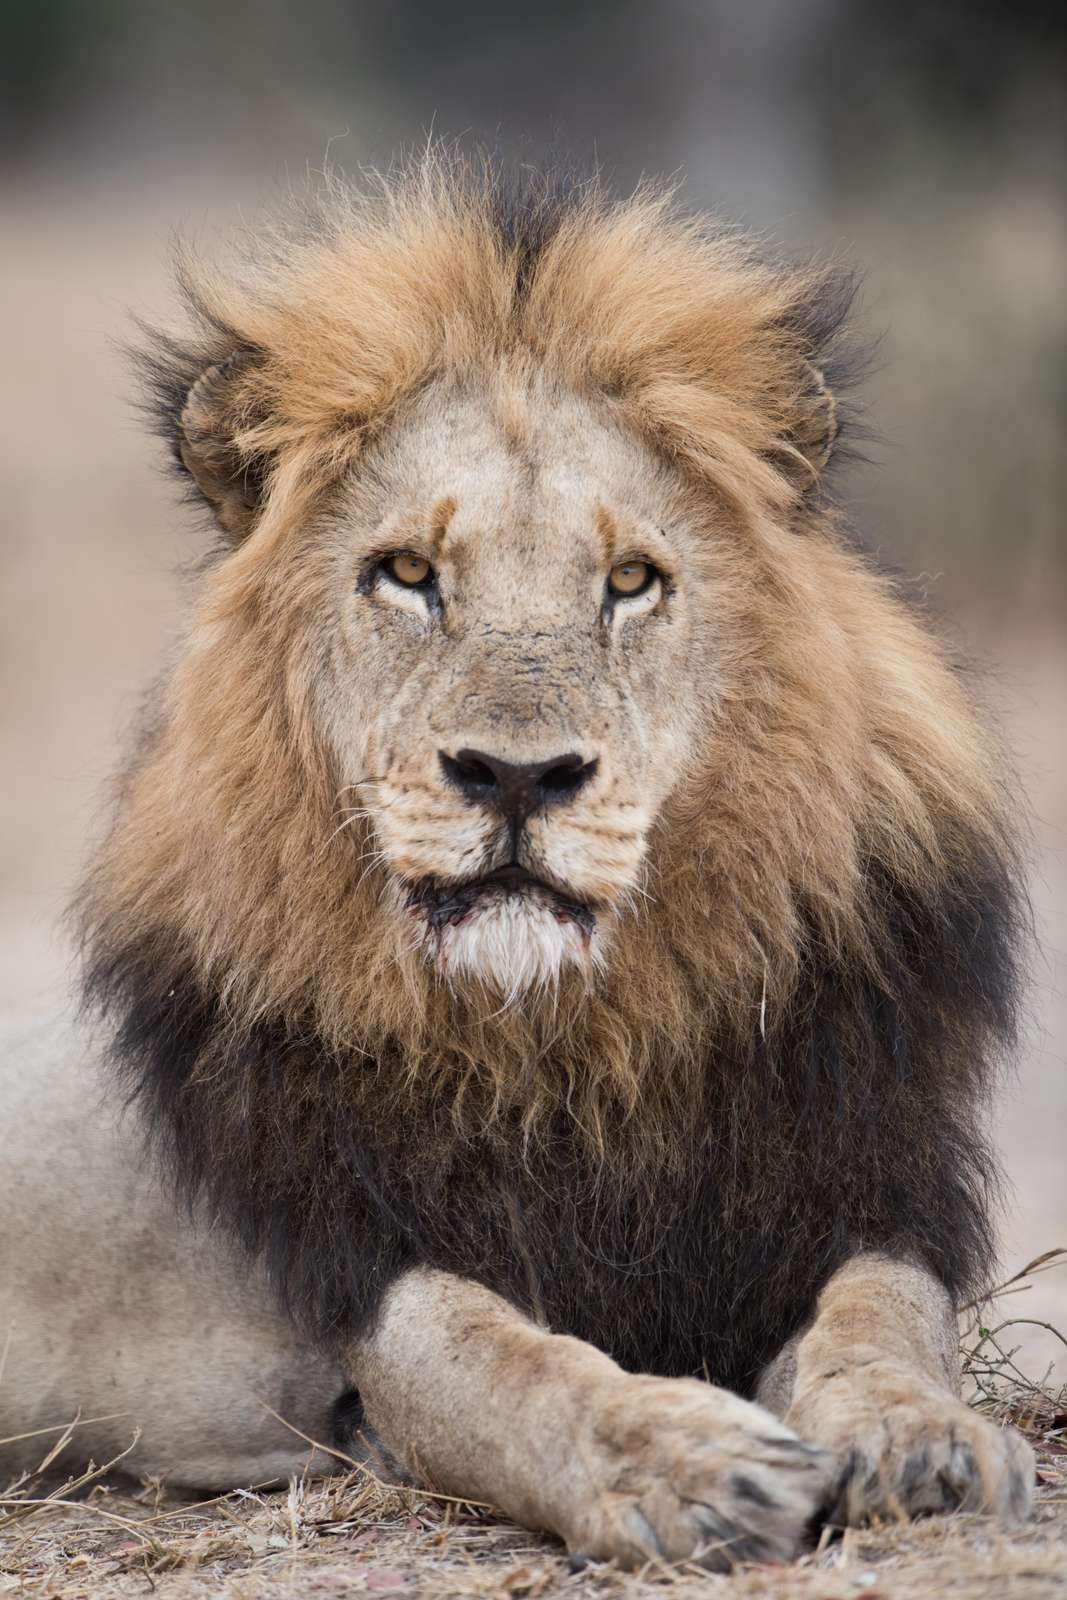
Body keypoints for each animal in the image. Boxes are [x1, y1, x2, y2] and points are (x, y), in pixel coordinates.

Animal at [1, 153, 1034, 1567]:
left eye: (632, 580)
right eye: (406, 573)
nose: (516, 776)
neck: (575, 1045)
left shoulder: (858, 1182)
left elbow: (878, 1324)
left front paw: (924, 1442)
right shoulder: (361, 1274)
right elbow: (511, 1367)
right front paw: (687, 1460)